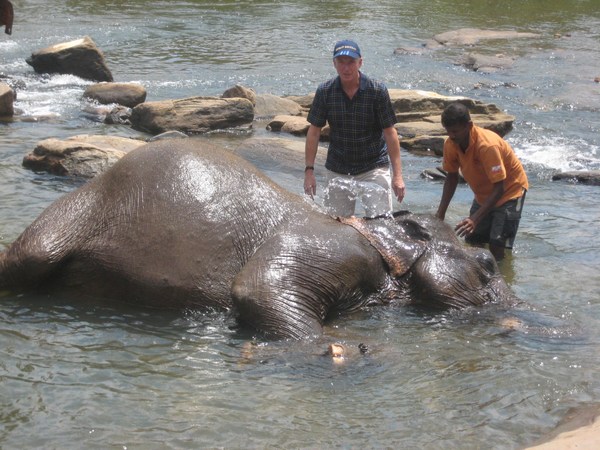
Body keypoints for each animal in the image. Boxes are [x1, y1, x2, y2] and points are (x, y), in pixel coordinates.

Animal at [0, 139, 516, 340]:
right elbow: (257, 289)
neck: (378, 229)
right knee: (28, 257)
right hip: (74, 213)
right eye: (488, 266)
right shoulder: (333, 244)